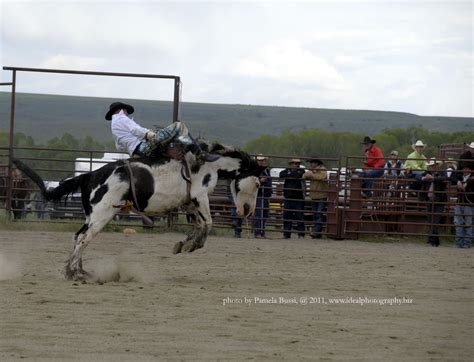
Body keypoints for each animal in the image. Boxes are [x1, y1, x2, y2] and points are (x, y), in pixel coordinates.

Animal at [12, 143, 262, 282]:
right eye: (259, 183)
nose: (247, 211)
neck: (208, 164)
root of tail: (90, 175)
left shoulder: (189, 202)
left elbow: (199, 224)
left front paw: (183, 244)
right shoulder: (200, 196)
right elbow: (208, 223)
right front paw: (192, 245)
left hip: (92, 215)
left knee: (77, 237)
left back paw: (81, 272)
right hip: (101, 215)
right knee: (83, 238)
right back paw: (75, 273)